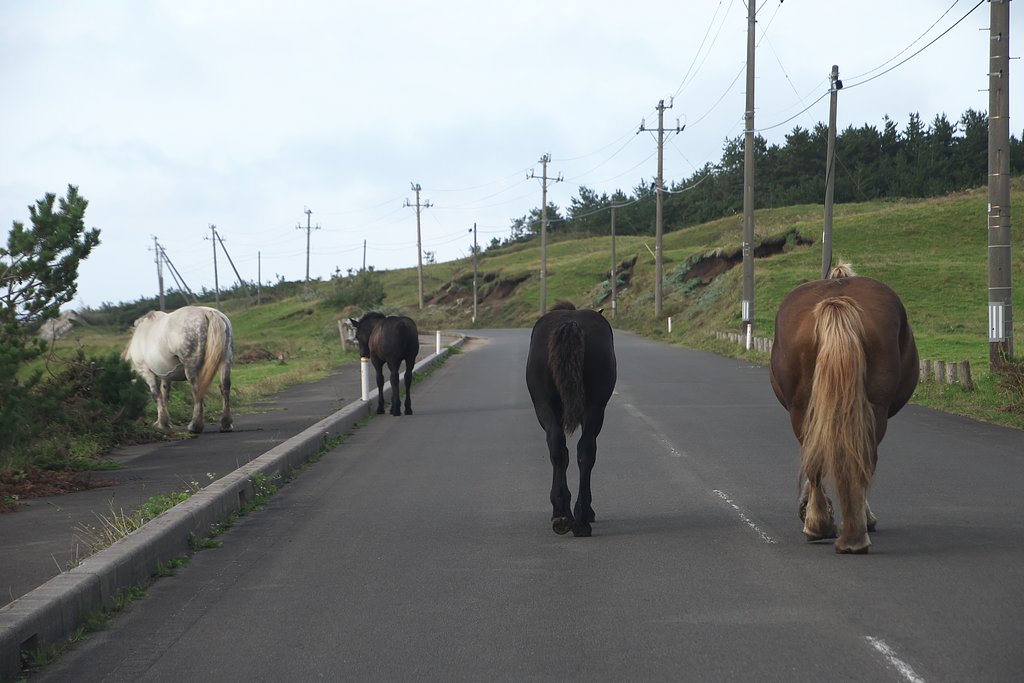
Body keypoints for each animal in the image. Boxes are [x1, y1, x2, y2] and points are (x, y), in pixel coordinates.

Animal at [123, 305, 234, 434]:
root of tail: (207, 312)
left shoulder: (146, 372)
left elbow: (156, 395)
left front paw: (163, 423)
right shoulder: (166, 375)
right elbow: (164, 394)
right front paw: (165, 422)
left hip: (192, 367)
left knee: (197, 390)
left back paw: (195, 426)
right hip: (225, 361)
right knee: (225, 386)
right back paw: (226, 424)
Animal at [526, 301, 617, 537]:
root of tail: (571, 323)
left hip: (550, 405)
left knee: (565, 448)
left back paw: (570, 515)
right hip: (592, 407)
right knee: (578, 449)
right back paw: (573, 517)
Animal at [769, 264, 918, 553]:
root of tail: (836, 302)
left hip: (803, 409)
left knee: (818, 459)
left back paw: (825, 527)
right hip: (872, 412)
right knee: (859, 460)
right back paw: (844, 532)